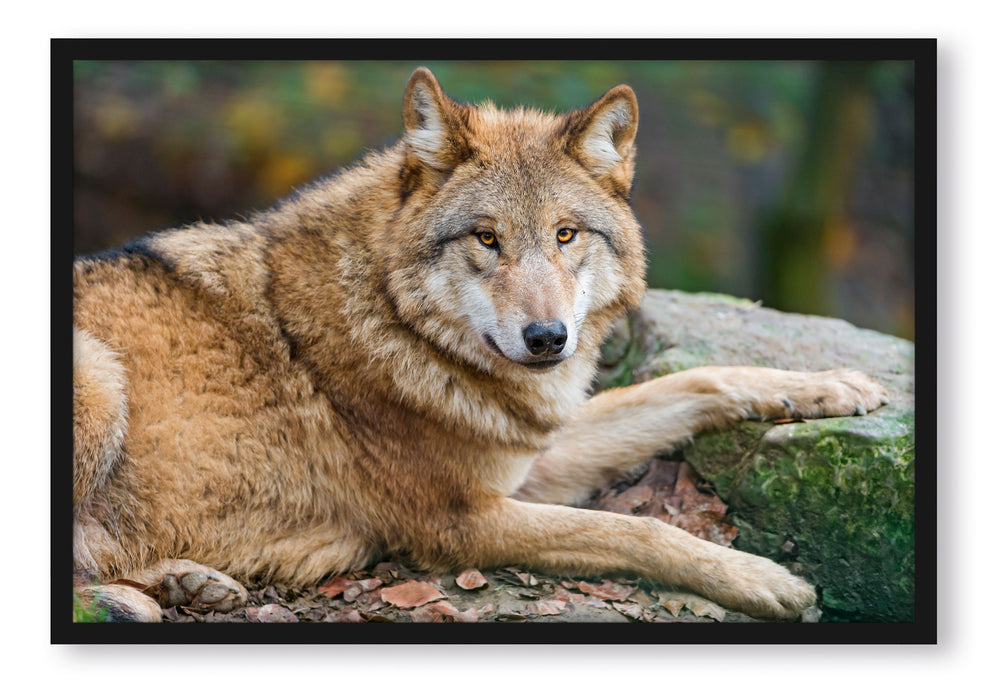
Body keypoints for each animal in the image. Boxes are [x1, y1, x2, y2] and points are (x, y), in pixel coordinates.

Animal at [73, 67, 888, 622]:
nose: (547, 338)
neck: (397, 322)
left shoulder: (531, 454)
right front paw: (764, 579)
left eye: (565, 234)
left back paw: (187, 582)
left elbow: (695, 382)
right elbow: (638, 531)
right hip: (99, 379)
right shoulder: (463, 520)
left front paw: (832, 385)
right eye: (487, 239)